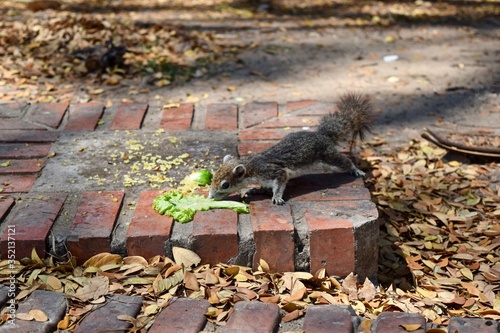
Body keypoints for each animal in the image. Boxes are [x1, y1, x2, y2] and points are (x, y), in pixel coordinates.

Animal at [208, 92, 376, 204]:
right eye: (212, 177)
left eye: (225, 185)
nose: (210, 197)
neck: (251, 167)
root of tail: (321, 135)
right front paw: (256, 189)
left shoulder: (273, 171)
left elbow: (279, 183)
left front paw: (276, 197)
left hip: (328, 156)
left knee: (344, 161)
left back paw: (356, 170)